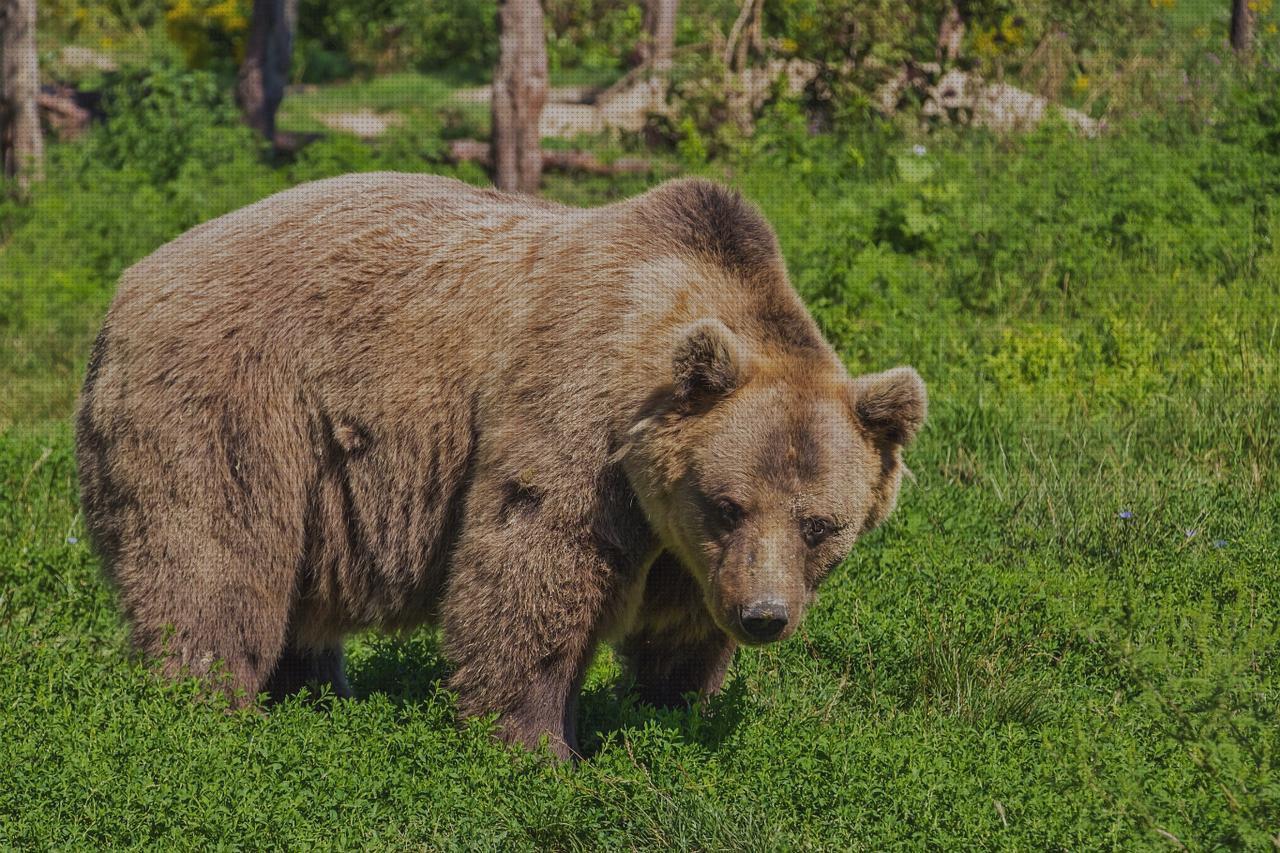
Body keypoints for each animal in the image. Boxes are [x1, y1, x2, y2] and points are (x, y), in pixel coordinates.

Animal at [77, 172, 921, 758]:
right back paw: (207, 704)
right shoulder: (579, 418)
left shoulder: (688, 543)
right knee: (215, 556)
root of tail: (127, 284)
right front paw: (540, 745)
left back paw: (317, 691)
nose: (765, 616)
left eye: (821, 524)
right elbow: (533, 568)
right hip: (236, 401)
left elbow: (681, 628)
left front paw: (676, 706)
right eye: (728, 502)